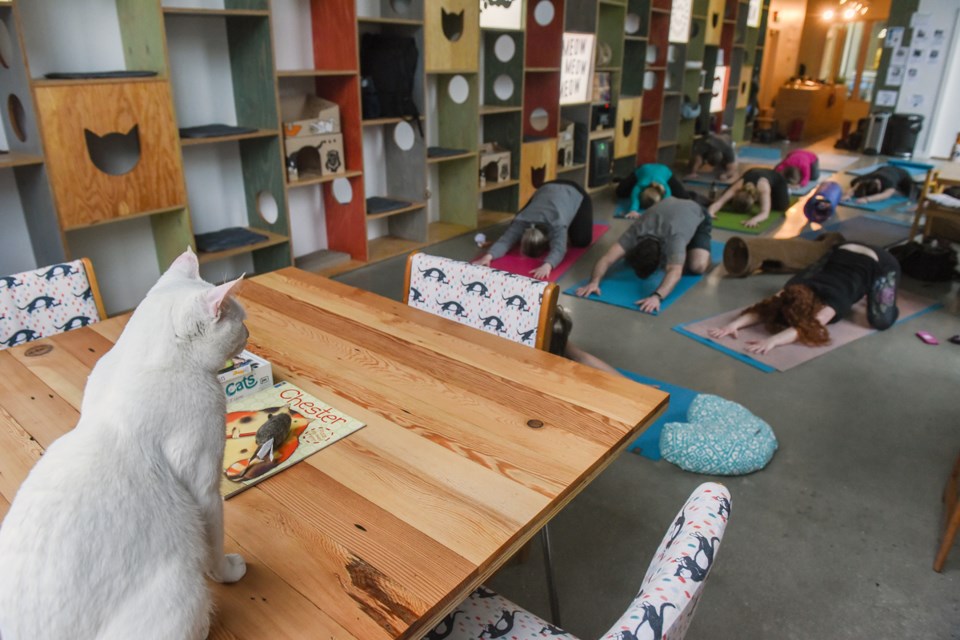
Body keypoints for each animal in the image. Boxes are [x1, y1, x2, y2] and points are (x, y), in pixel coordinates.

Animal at [0, 250, 251, 640]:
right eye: (240, 322)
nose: (249, 332)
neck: (138, 363)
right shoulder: (205, 488)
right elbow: (214, 543)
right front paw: (229, 570)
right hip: (181, 592)